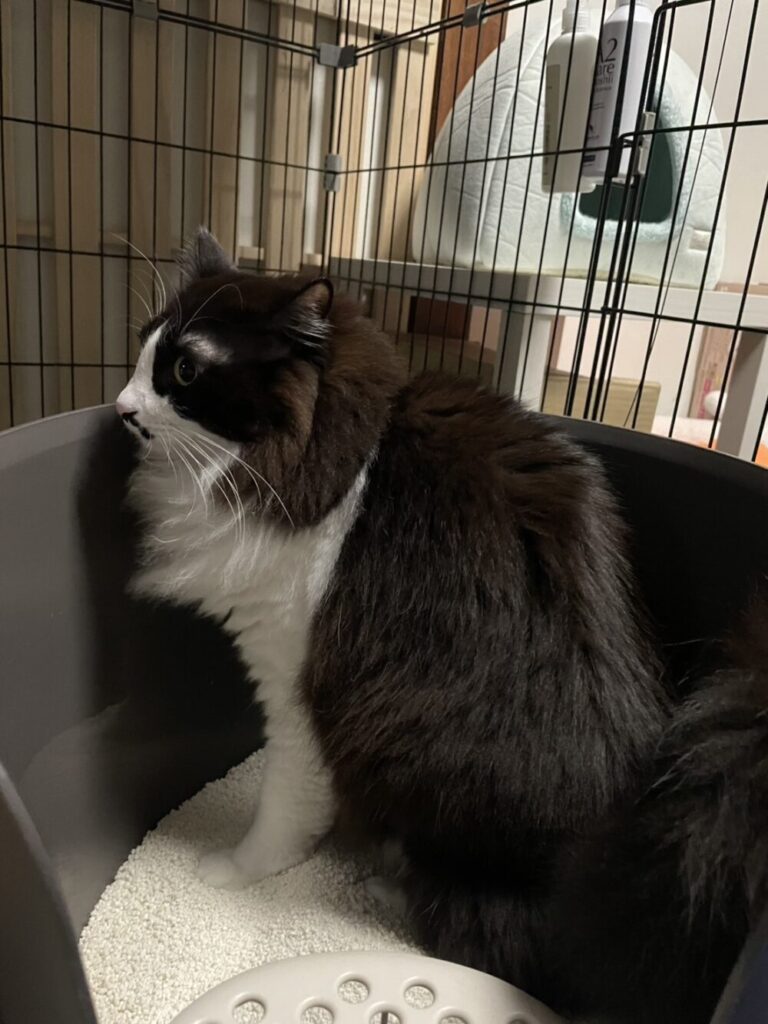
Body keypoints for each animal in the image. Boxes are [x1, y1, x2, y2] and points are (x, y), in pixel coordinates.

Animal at [117, 228, 767, 1024]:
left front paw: (235, 871)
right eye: (143, 349)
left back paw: (387, 883)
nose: (120, 407)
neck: (341, 458)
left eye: (183, 369)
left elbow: (284, 808)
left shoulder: (295, 681)